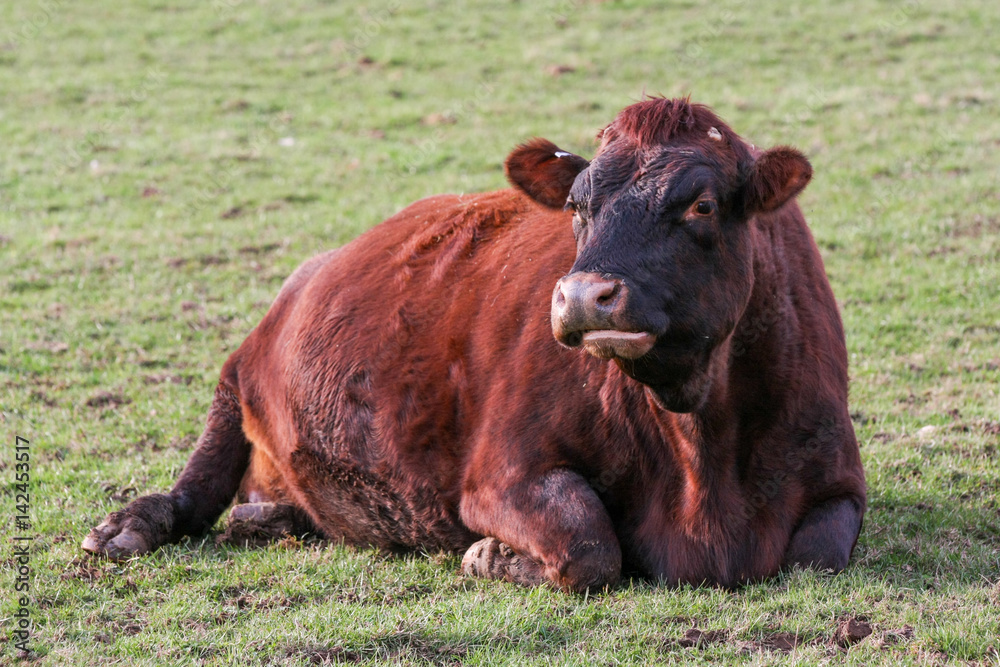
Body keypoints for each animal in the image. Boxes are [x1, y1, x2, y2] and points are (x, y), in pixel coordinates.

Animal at [83, 97, 866, 591]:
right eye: (578, 205)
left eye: (701, 204)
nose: (583, 295)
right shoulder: (500, 472)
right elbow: (589, 546)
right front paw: (491, 557)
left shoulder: (837, 479)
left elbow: (818, 554)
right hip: (236, 372)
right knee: (200, 476)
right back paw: (130, 524)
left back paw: (268, 517)